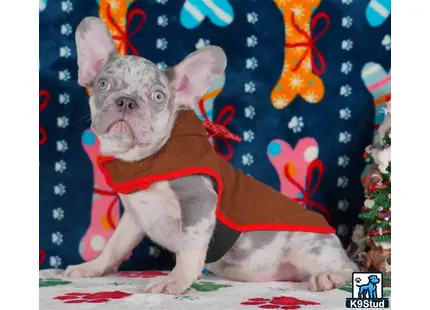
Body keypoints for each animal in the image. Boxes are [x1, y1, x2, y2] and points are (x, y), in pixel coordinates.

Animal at [63, 17, 358, 296]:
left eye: (158, 96)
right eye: (103, 84)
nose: (126, 101)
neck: (145, 160)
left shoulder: (198, 200)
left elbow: (189, 247)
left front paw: (175, 280)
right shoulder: (135, 218)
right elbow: (114, 245)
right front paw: (92, 267)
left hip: (308, 248)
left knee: (349, 267)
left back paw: (329, 276)